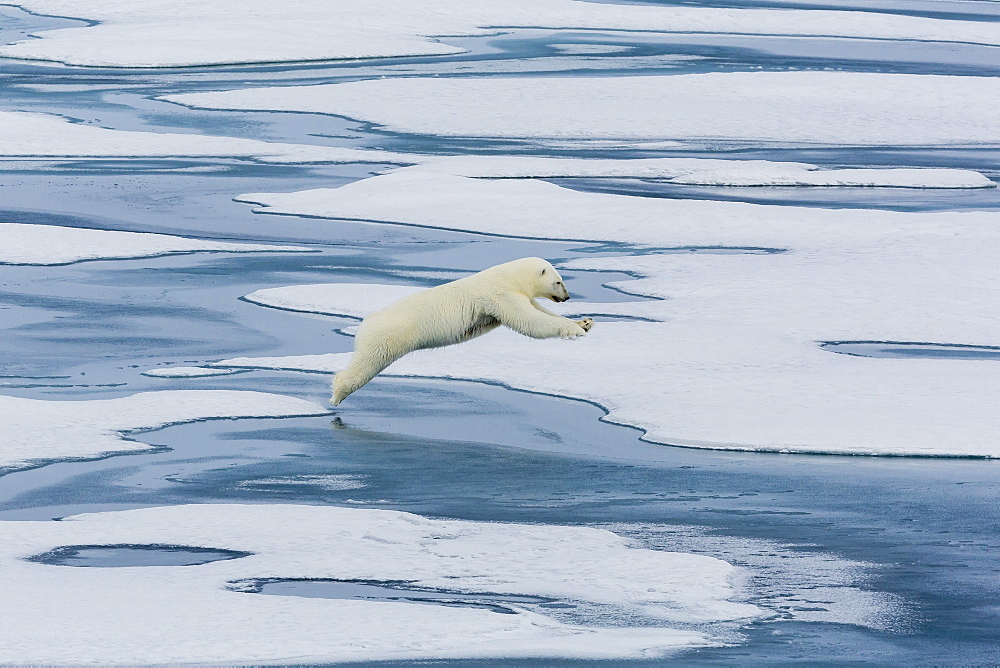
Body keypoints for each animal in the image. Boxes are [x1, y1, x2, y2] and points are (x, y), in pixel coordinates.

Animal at [328, 256, 592, 404]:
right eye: (558, 281)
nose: (567, 297)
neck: (508, 277)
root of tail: (367, 321)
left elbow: (539, 311)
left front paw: (585, 322)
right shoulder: (499, 295)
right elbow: (530, 321)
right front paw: (575, 330)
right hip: (388, 336)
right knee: (367, 363)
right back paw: (337, 393)